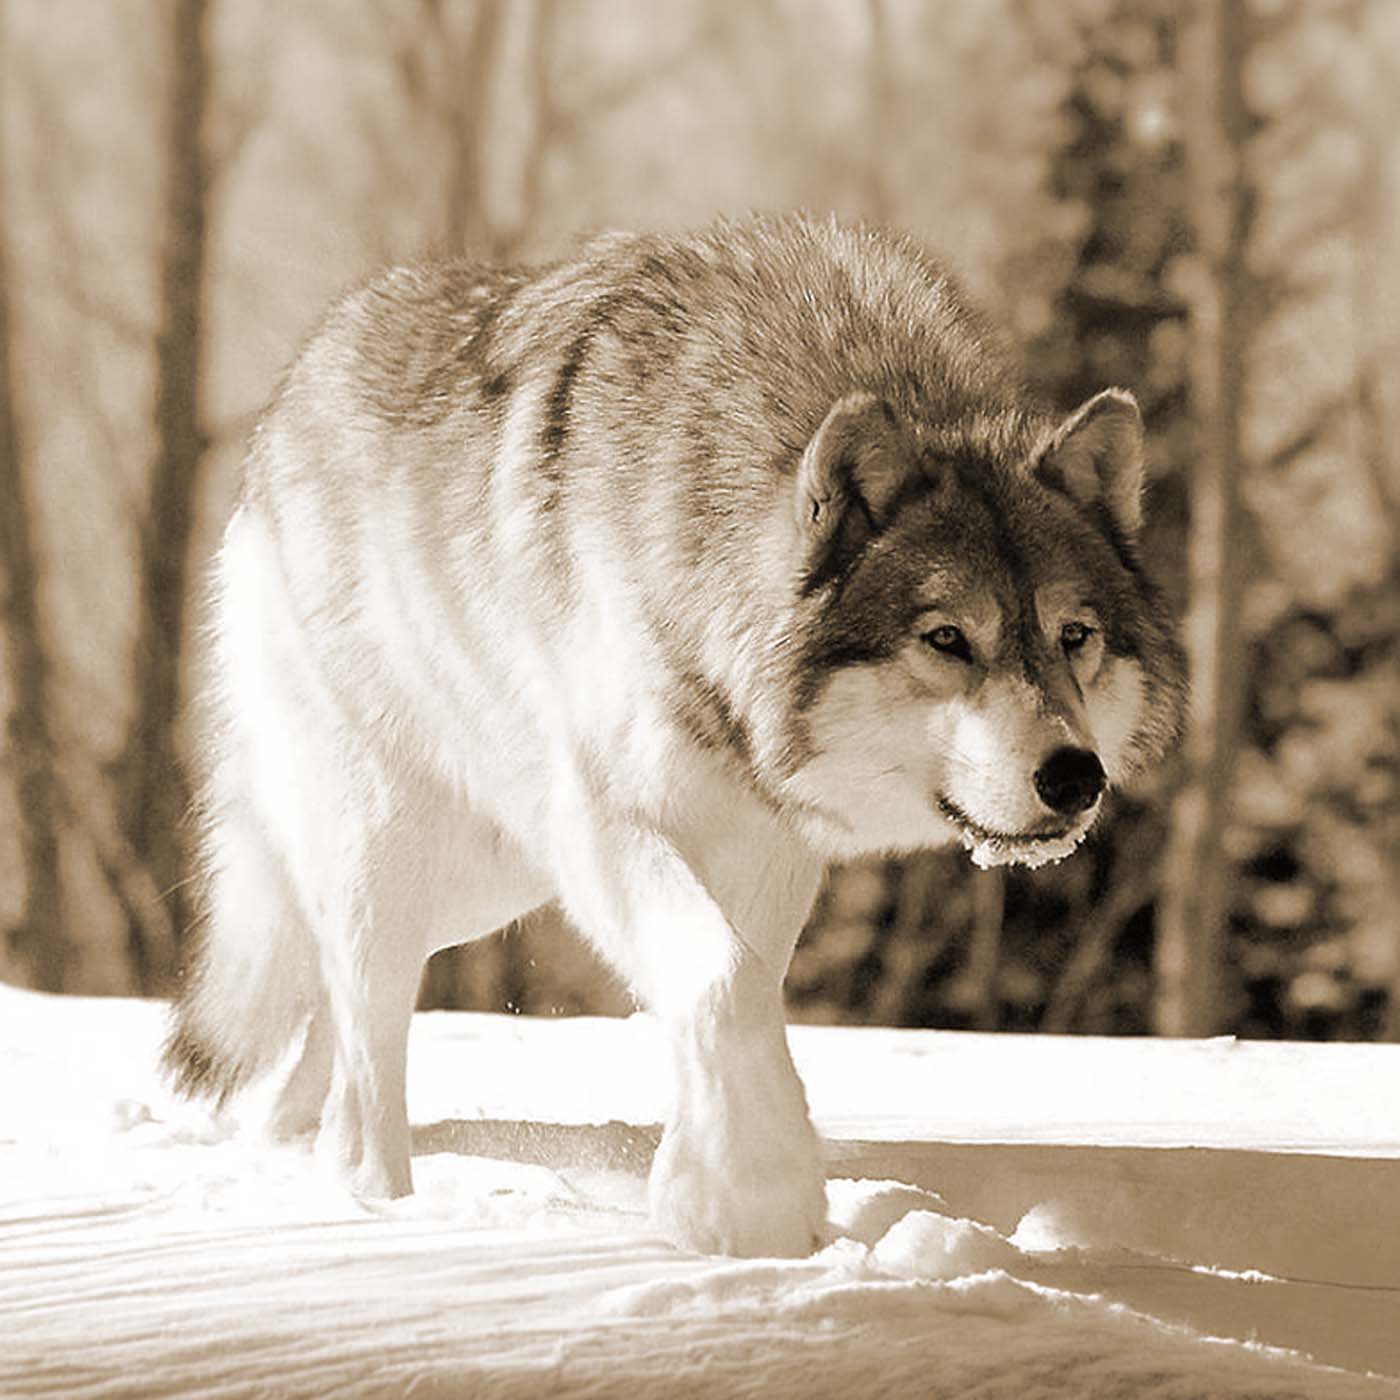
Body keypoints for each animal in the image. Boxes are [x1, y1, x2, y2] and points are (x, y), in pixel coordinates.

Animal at [165, 213, 1186, 1257]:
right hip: (406, 852)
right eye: (948, 639)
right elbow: (722, 980)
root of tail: (296, 381)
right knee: (363, 1021)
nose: (1076, 779)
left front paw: (711, 1185)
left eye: (1074, 637)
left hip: (486, 882)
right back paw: (372, 1200)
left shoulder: (766, 844)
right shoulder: (608, 821)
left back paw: (296, 1151)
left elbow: (743, 988)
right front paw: (748, 1201)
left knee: (332, 1004)